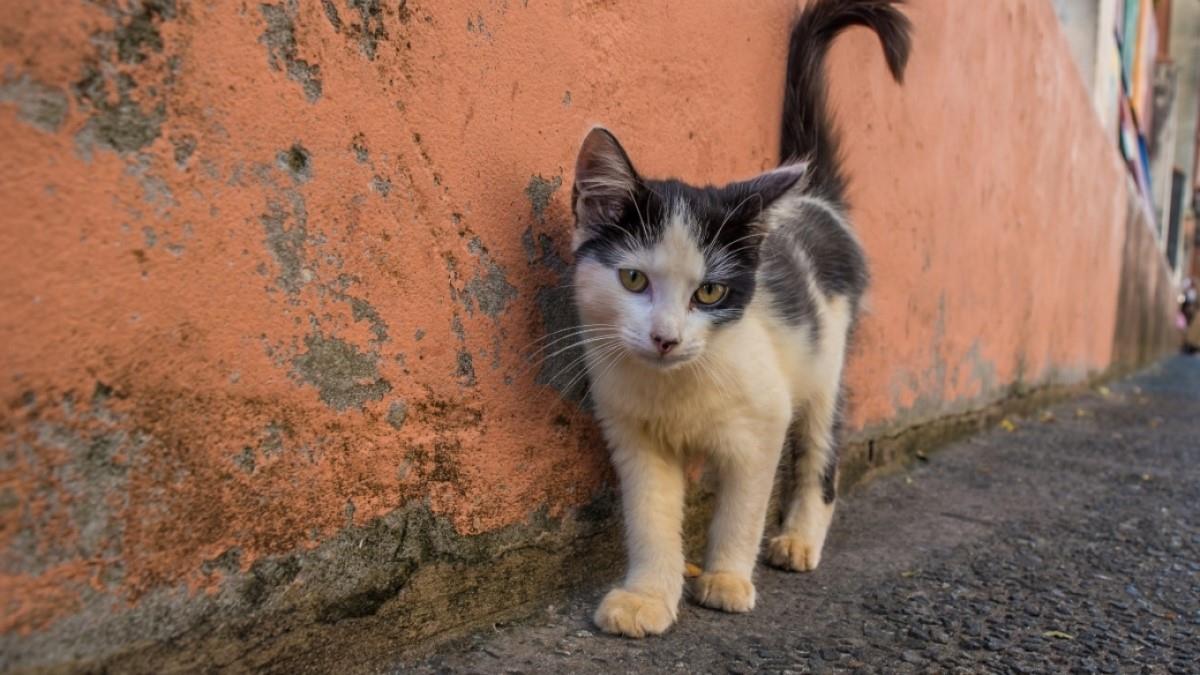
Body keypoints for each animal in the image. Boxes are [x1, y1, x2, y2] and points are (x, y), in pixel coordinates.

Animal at [566, 0, 912, 634]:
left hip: (828, 359)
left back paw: (799, 539)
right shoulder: (633, 436)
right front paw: (648, 595)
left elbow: (742, 508)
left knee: (821, 451)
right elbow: (650, 516)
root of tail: (816, 200)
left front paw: (726, 578)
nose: (666, 338)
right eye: (634, 280)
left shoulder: (764, 420)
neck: (676, 385)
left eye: (709, 292)